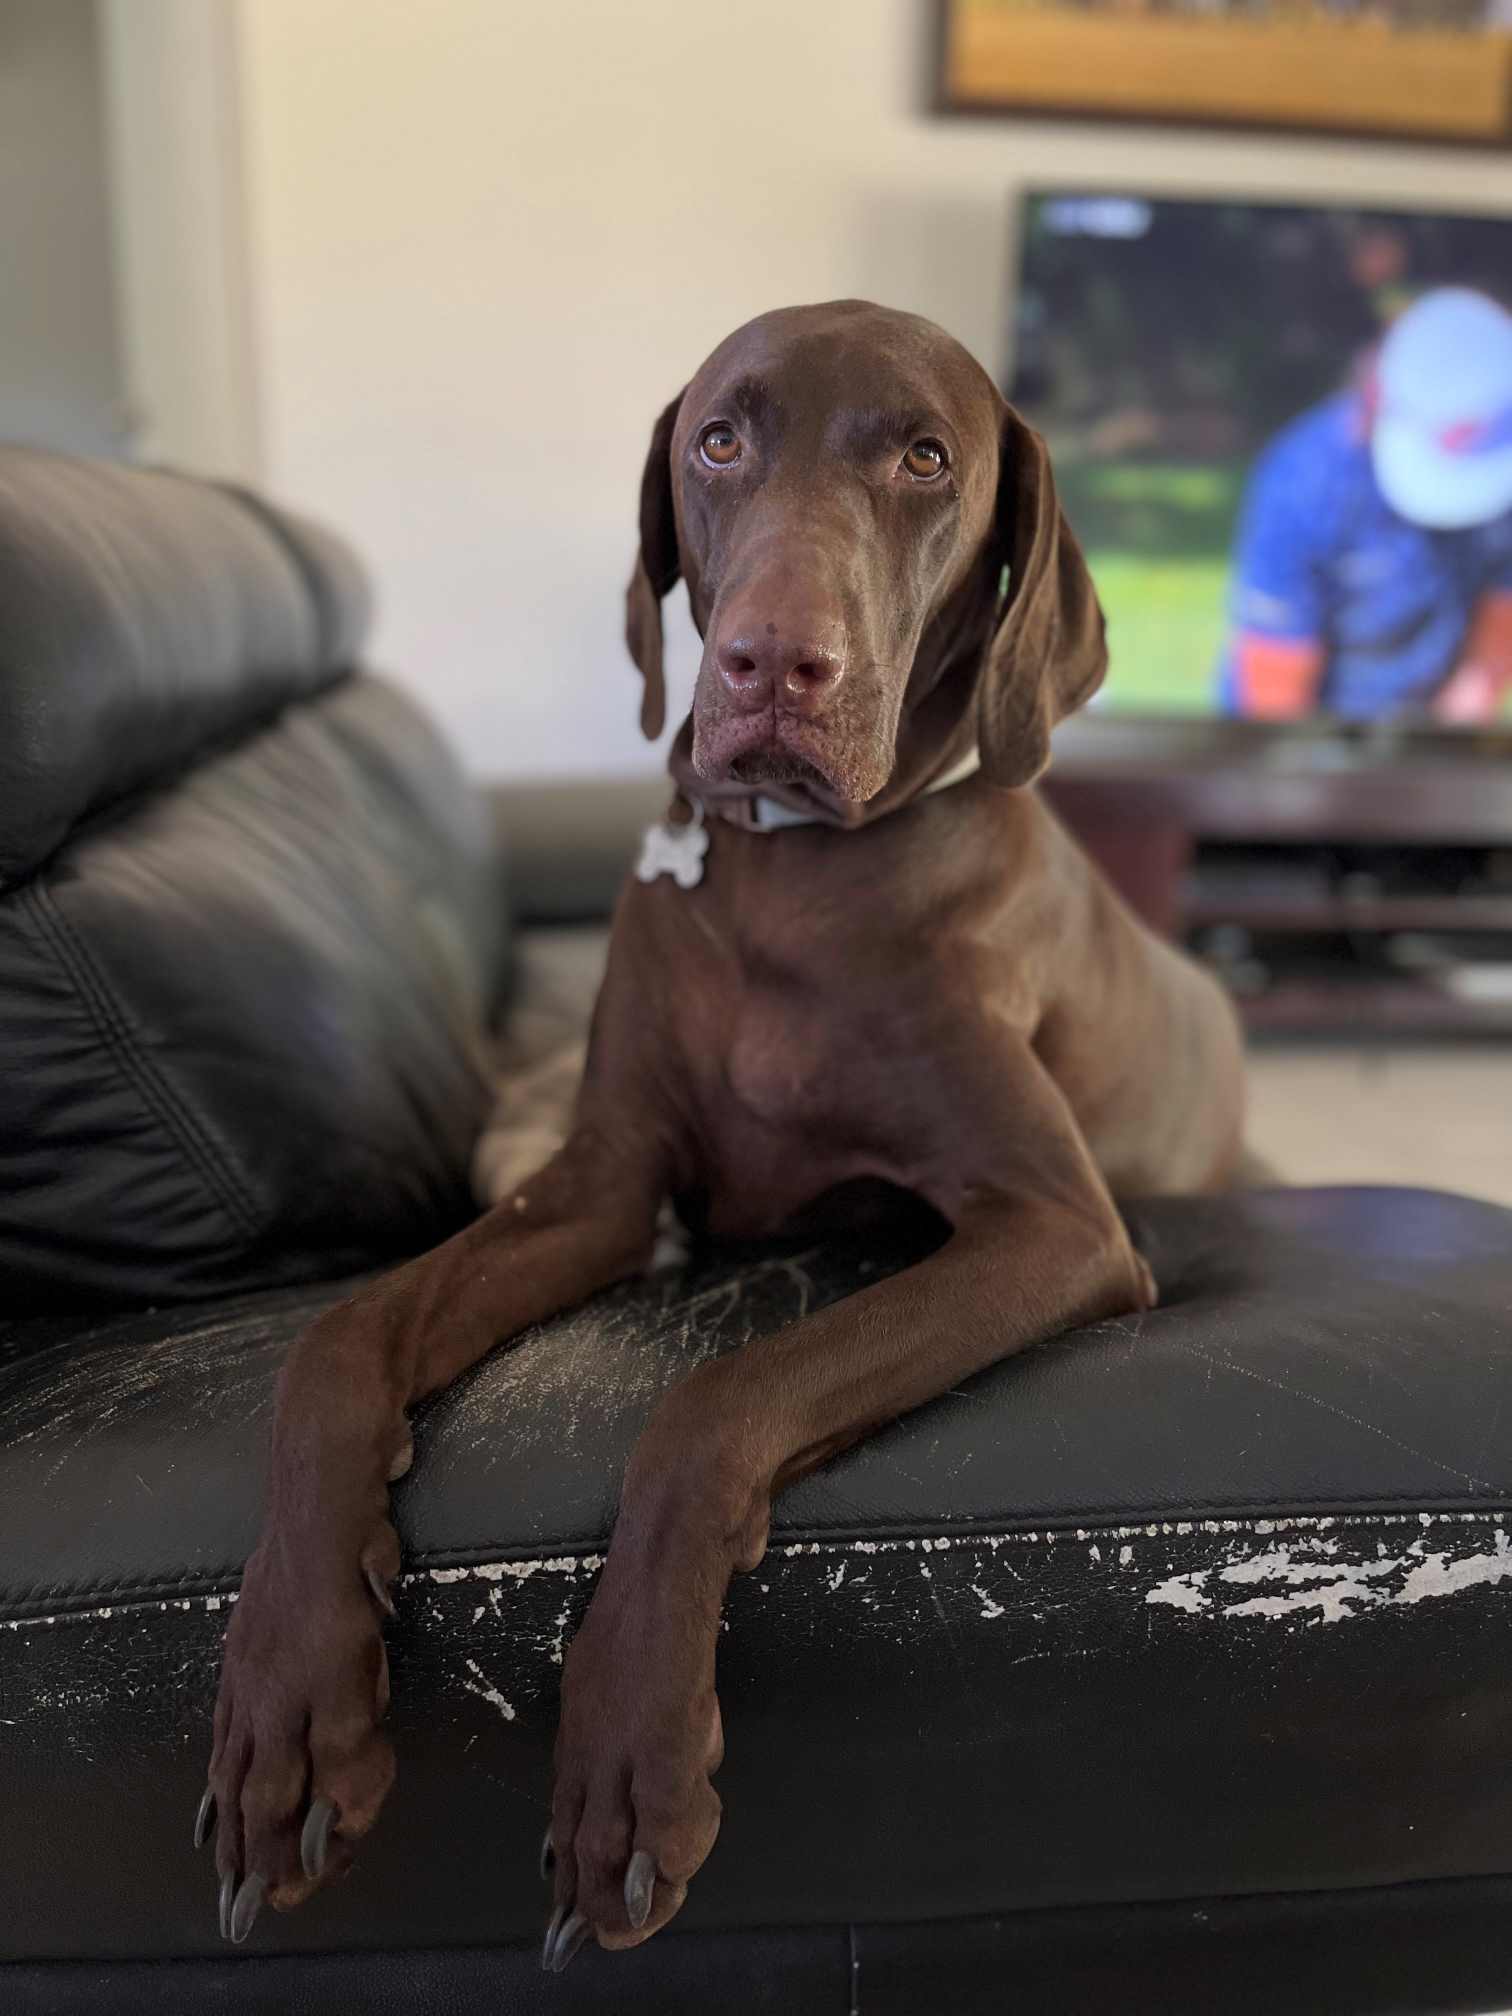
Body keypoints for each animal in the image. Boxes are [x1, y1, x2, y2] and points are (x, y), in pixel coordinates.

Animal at [198, 298, 1241, 1967]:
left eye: (925, 458)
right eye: (721, 440)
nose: (769, 665)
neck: (793, 877)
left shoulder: (1055, 1229)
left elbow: (716, 1399)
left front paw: (628, 1757)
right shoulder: (603, 1187)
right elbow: (337, 1339)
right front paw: (292, 1701)